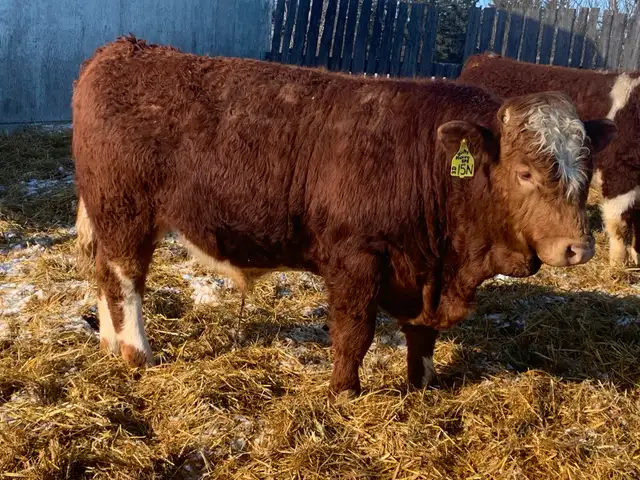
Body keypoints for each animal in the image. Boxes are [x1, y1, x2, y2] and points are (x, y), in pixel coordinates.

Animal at [72, 36, 615, 398]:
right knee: (125, 278)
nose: (578, 247)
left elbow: (421, 334)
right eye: (525, 172)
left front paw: (422, 385)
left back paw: (108, 342)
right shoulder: (357, 257)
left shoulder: (424, 267)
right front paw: (344, 392)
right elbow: (355, 332)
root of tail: (122, 49)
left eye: (586, 167)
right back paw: (136, 352)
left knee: (103, 274)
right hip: (125, 211)